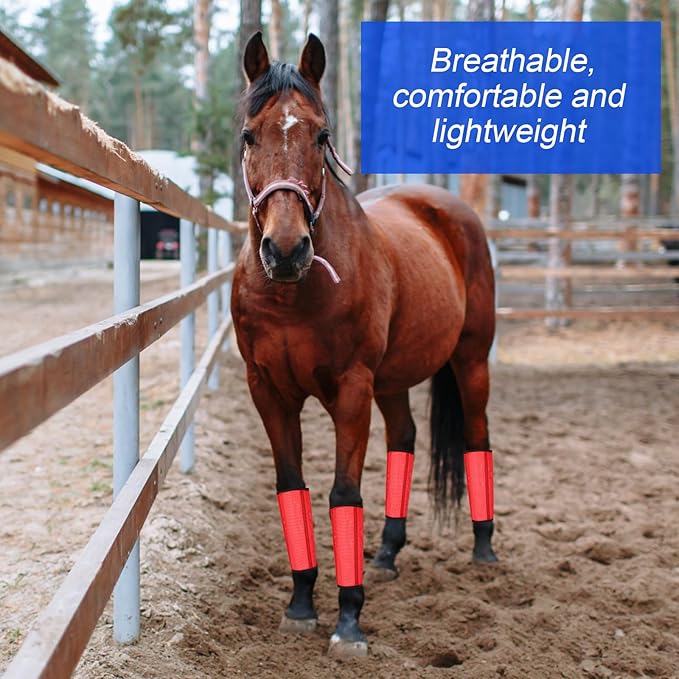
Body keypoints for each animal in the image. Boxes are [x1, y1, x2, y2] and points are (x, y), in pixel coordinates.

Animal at [231, 32, 497, 657]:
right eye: (249, 135)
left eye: (321, 135)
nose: (285, 250)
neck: (292, 293)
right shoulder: (269, 392)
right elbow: (292, 487)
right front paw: (301, 604)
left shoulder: (351, 390)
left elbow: (343, 494)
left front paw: (348, 620)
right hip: (393, 381)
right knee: (405, 437)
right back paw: (387, 553)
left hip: (471, 361)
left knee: (477, 436)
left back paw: (483, 547)